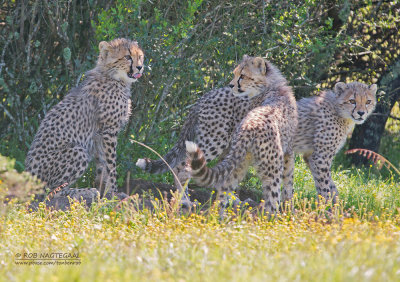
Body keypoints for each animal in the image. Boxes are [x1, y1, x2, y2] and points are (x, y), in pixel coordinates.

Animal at [25, 37, 144, 199]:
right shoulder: (109, 131)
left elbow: (102, 165)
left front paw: (104, 191)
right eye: (127, 57)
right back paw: (84, 191)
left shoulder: (99, 136)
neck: (112, 76)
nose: (140, 67)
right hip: (78, 151)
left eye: (140, 56)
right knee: (51, 192)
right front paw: (114, 192)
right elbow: (111, 165)